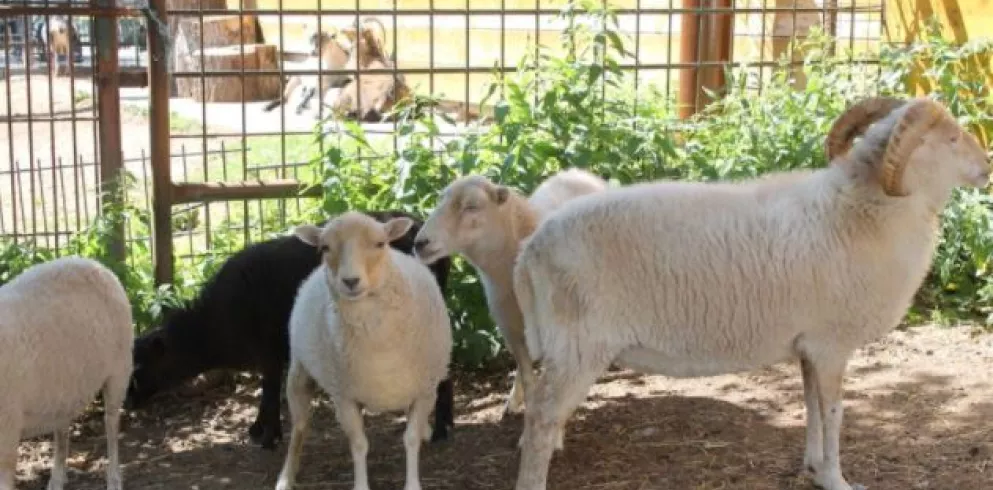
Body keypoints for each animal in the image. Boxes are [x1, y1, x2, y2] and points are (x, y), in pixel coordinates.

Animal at [0, 255, 133, 490]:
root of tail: (94, 264)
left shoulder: (8, 425)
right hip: (63, 388)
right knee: (62, 431)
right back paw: (57, 479)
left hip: (119, 370)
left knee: (111, 424)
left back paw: (114, 478)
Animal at [125, 209, 462, 450]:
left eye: (139, 367)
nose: (126, 404)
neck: (212, 325)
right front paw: (258, 430)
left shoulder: (269, 349)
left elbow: (270, 391)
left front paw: (267, 436)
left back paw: (440, 428)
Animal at [276, 212, 454, 490]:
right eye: (325, 247)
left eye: (380, 244)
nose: (350, 281)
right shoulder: (345, 397)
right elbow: (359, 445)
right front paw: (361, 484)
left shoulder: (424, 391)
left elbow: (411, 439)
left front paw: (412, 483)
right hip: (299, 370)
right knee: (300, 427)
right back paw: (286, 476)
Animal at [512, 96, 992, 490]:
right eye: (951, 138)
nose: (987, 166)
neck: (863, 213)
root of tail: (532, 247)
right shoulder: (832, 344)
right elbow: (835, 413)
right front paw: (837, 479)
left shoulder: (808, 346)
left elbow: (811, 407)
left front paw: (813, 467)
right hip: (579, 346)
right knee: (540, 420)